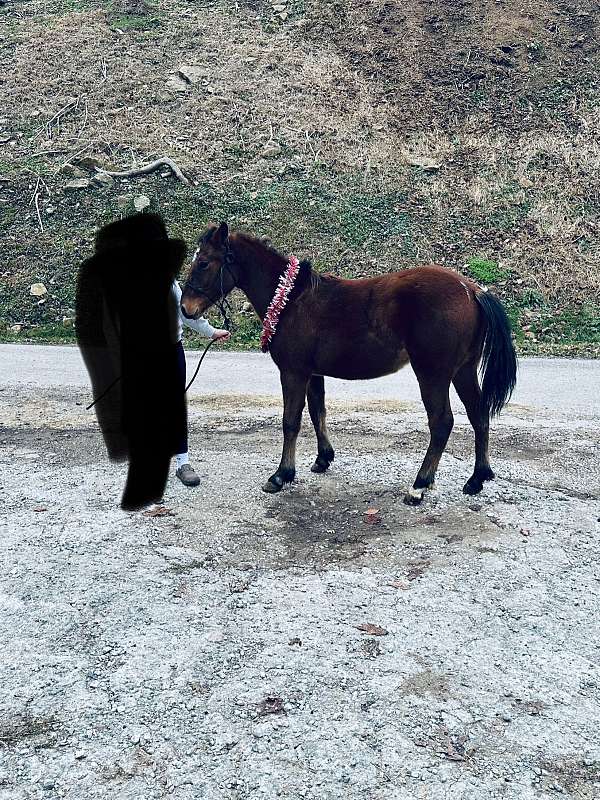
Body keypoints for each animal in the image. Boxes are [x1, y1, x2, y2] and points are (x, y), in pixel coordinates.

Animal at [180, 222, 517, 504]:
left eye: (204, 262)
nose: (185, 308)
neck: (291, 300)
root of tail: (471, 289)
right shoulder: (312, 373)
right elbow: (317, 412)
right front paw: (322, 459)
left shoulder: (293, 372)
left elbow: (291, 421)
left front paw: (281, 475)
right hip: (463, 371)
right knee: (478, 414)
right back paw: (477, 478)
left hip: (432, 374)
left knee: (442, 422)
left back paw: (419, 485)